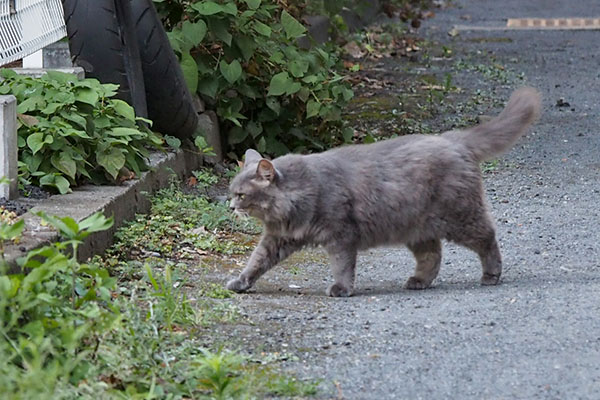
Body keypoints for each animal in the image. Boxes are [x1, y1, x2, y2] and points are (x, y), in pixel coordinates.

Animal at [227, 90, 540, 296]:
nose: (230, 207)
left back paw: (491, 275)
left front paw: (341, 289)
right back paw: (418, 282)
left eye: (240, 195)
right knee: (432, 256)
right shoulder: (277, 238)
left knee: (487, 237)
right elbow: (256, 262)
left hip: (460, 217)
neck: (293, 203)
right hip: (417, 227)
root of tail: (453, 139)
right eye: (231, 192)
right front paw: (240, 283)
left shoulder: (340, 234)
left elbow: (342, 265)